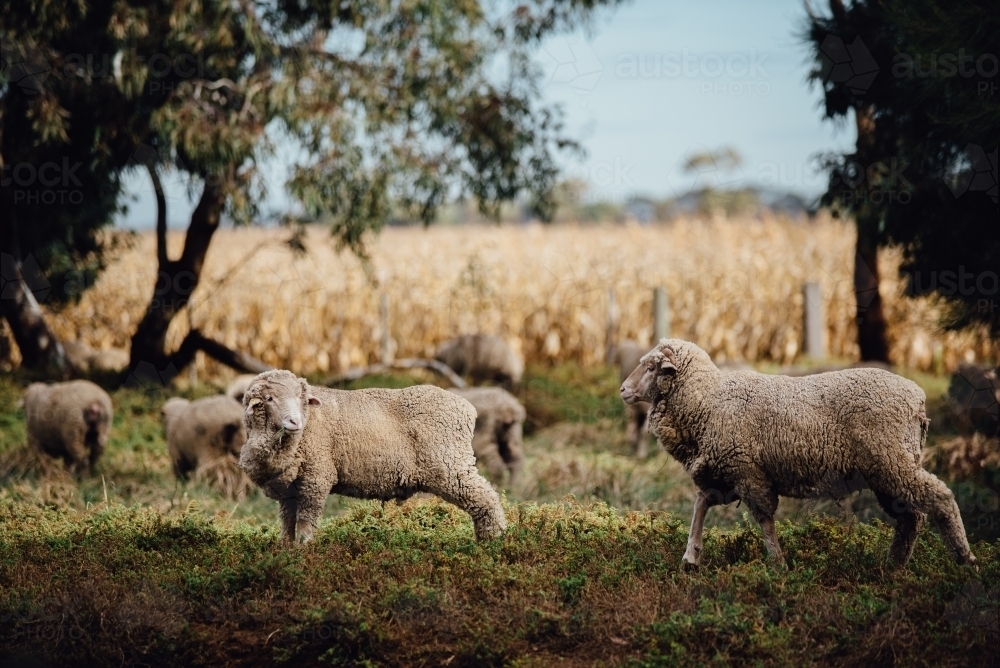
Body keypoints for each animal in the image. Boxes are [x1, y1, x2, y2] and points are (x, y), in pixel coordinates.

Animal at [238, 368, 508, 544]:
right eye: (269, 399)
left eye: (300, 398)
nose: (295, 422)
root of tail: (467, 408)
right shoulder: (288, 489)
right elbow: (287, 525)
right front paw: (286, 553)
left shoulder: (316, 478)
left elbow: (305, 524)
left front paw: (305, 551)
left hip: (450, 465)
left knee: (486, 498)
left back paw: (493, 541)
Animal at [620, 340, 972, 568]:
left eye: (650, 367)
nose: (623, 390)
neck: (707, 401)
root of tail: (917, 399)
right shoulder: (725, 472)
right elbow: (701, 504)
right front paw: (691, 557)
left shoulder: (748, 472)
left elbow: (764, 518)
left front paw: (777, 564)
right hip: (889, 468)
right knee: (911, 517)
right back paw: (893, 568)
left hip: (892, 461)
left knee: (940, 498)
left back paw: (964, 561)